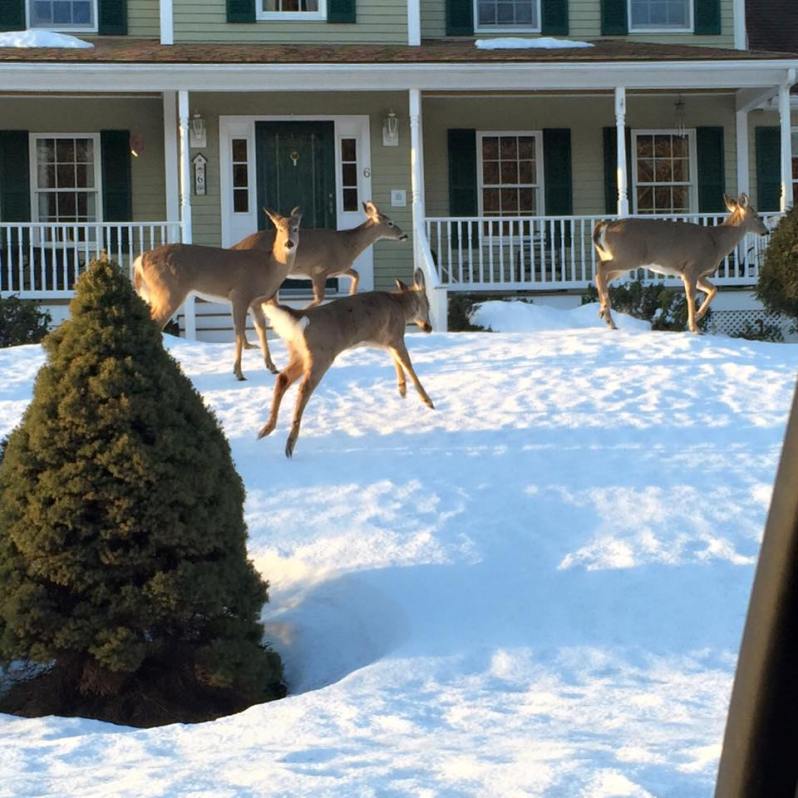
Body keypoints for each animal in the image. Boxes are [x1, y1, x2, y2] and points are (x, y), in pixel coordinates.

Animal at [133, 208, 302, 381]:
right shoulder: (239, 294)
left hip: (157, 294)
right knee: (155, 323)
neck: (268, 268)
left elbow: (261, 330)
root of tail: (140, 259)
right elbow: (239, 332)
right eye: (280, 229)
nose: (289, 243)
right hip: (169, 292)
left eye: (296, 228)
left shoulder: (255, 302)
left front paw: (272, 367)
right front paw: (238, 372)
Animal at [233, 201, 408, 308]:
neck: (348, 244)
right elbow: (319, 298)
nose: (404, 235)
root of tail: (237, 245)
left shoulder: (338, 269)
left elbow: (356, 274)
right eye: (390, 223)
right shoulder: (318, 270)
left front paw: (352, 294)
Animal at [257, 268, 434, 458]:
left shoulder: (387, 342)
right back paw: (290, 443)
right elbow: (408, 364)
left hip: (299, 353)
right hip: (321, 355)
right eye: (428, 304)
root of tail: (300, 316)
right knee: (303, 388)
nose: (428, 327)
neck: (401, 306)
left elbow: (397, 362)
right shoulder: (395, 336)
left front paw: (402, 389)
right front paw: (427, 401)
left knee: (282, 378)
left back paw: (266, 429)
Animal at [592, 193, 769, 333]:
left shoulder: (699, 274)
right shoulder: (691, 267)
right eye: (756, 216)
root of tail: (605, 226)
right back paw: (606, 313)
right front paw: (694, 327)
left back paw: (605, 315)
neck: (717, 242)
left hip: (625, 261)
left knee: (603, 276)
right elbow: (690, 296)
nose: (766, 231)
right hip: (628, 256)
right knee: (600, 268)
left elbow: (714, 290)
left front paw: (697, 316)